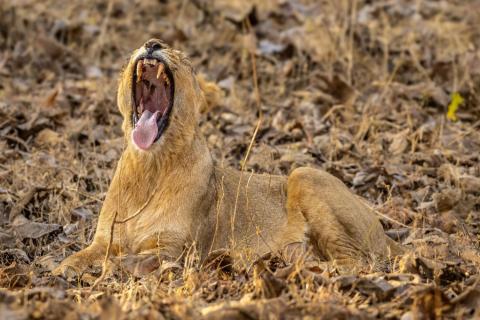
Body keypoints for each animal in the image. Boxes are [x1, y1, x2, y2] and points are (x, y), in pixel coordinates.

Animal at [52, 38, 404, 276]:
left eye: (185, 60)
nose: (152, 43)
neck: (149, 167)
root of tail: (387, 235)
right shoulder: (104, 239)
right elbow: (79, 257)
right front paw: (60, 270)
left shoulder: (173, 251)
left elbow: (124, 261)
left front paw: (101, 271)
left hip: (305, 174)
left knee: (355, 262)